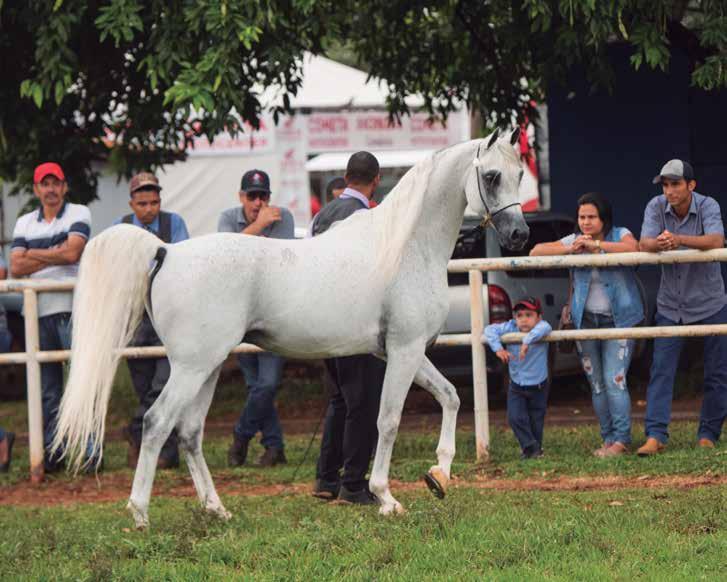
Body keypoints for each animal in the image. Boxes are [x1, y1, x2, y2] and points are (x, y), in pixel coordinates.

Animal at [51, 130, 528, 532]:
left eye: (520, 174)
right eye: (491, 176)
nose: (520, 235)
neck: (405, 248)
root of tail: (166, 251)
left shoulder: (403, 352)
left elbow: (451, 397)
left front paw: (439, 475)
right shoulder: (404, 350)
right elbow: (388, 420)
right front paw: (386, 498)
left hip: (207, 368)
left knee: (189, 433)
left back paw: (217, 509)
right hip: (190, 368)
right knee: (156, 423)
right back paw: (141, 514)